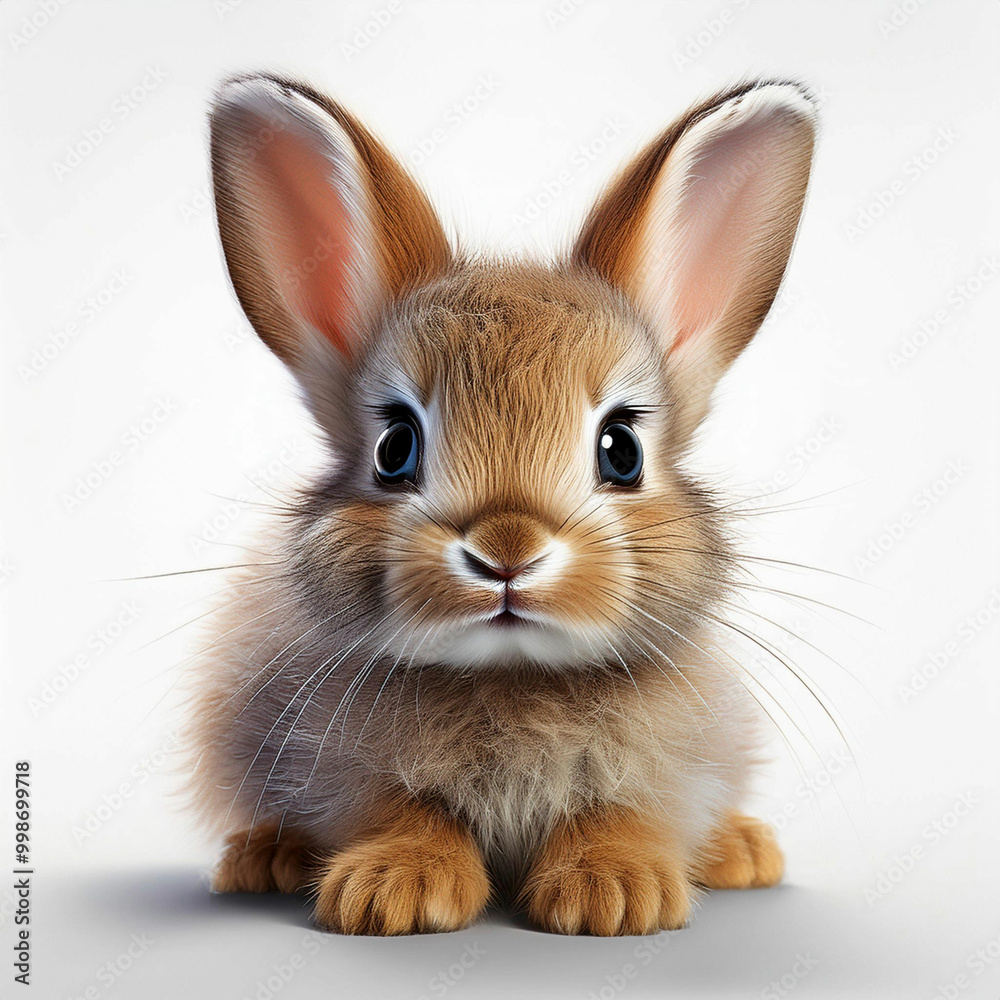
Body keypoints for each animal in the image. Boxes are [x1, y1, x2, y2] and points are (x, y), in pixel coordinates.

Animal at [182, 73, 817, 936]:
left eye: (622, 450)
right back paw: (263, 859)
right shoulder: (337, 768)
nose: (507, 552)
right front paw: (393, 890)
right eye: (395, 449)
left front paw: (614, 893)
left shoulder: (671, 770)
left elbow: (625, 812)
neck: (512, 675)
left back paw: (744, 852)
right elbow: (401, 811)